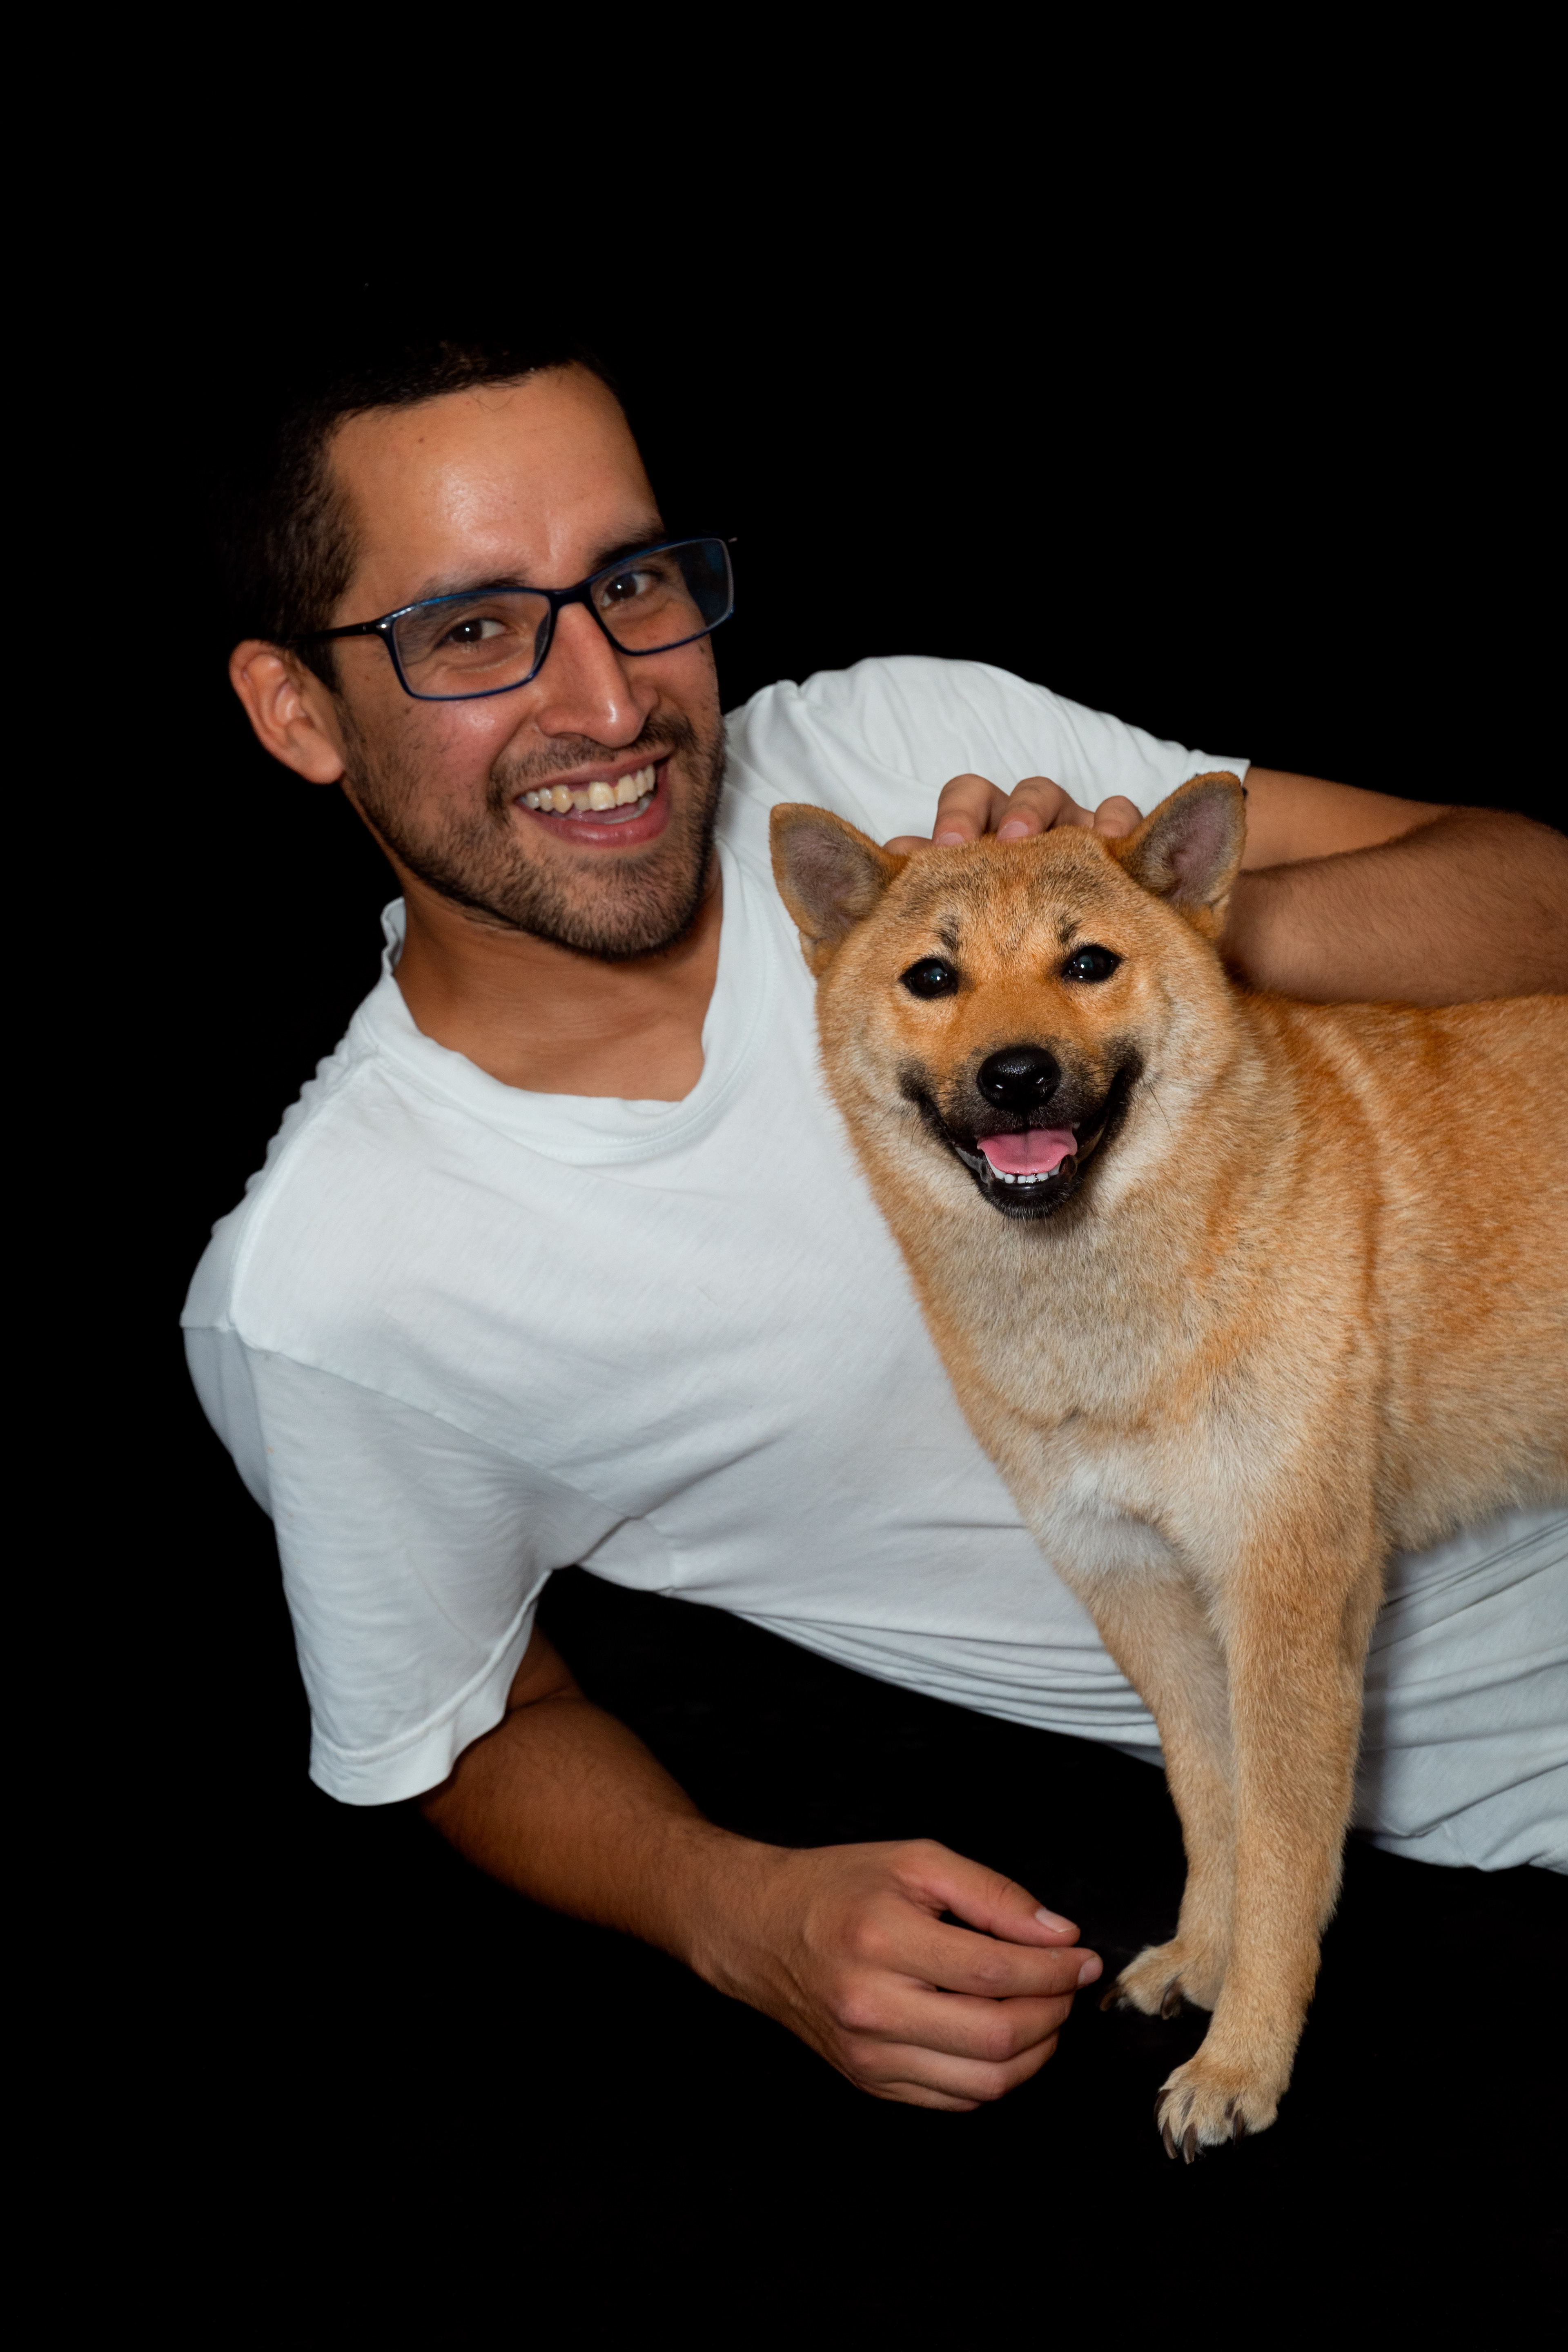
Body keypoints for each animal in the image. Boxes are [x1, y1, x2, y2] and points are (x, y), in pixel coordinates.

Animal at [771, 774, 1567, 2155]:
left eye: (1087, 962)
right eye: (933, 977)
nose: (1017, 1074)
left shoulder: (1290, 1601)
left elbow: (1288, 1854)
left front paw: (1243, 2057)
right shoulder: (1141, 1592)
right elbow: (1211, 1806)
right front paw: (1202, 1960)